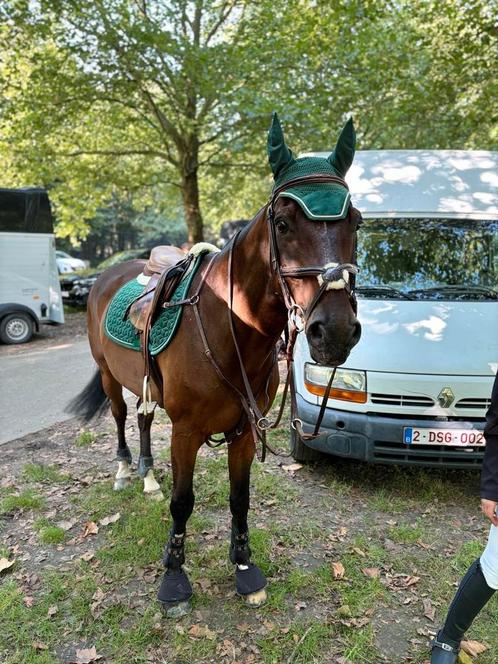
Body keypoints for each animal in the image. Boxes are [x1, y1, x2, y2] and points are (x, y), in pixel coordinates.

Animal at [69, 113, 362, 612]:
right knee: (122, 416)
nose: (336, 331)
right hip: (109, 376)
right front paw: (173, 577)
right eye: (283, 223)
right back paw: (127, 470)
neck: (230, 330)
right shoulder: (186, 431)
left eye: (357, 222)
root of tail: (106, 275)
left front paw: (244, 566)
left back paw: (147, 475)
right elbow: (183, 502)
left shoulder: (245, 429)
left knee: (144, 418)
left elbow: (240, 497)